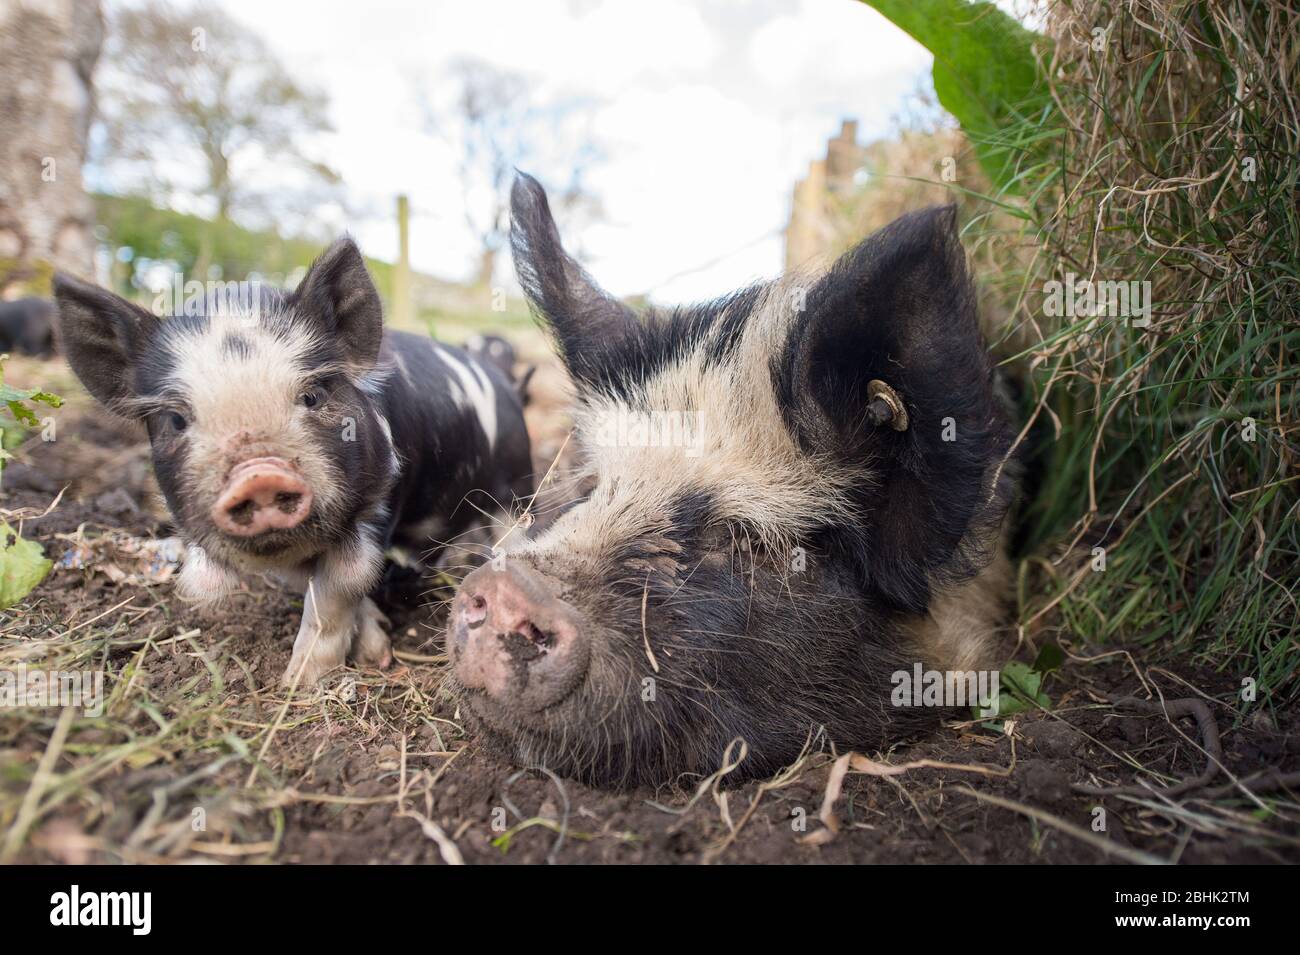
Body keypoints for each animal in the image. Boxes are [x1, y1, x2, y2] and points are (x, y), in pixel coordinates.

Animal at [55, 239, 533, 686]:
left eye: (312, 396)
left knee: (513, 529)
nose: (259, 475)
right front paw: (365, 650)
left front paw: (302, 682)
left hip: (516, 483)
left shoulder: (379, 503)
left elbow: (337, 590)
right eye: (175, 420)